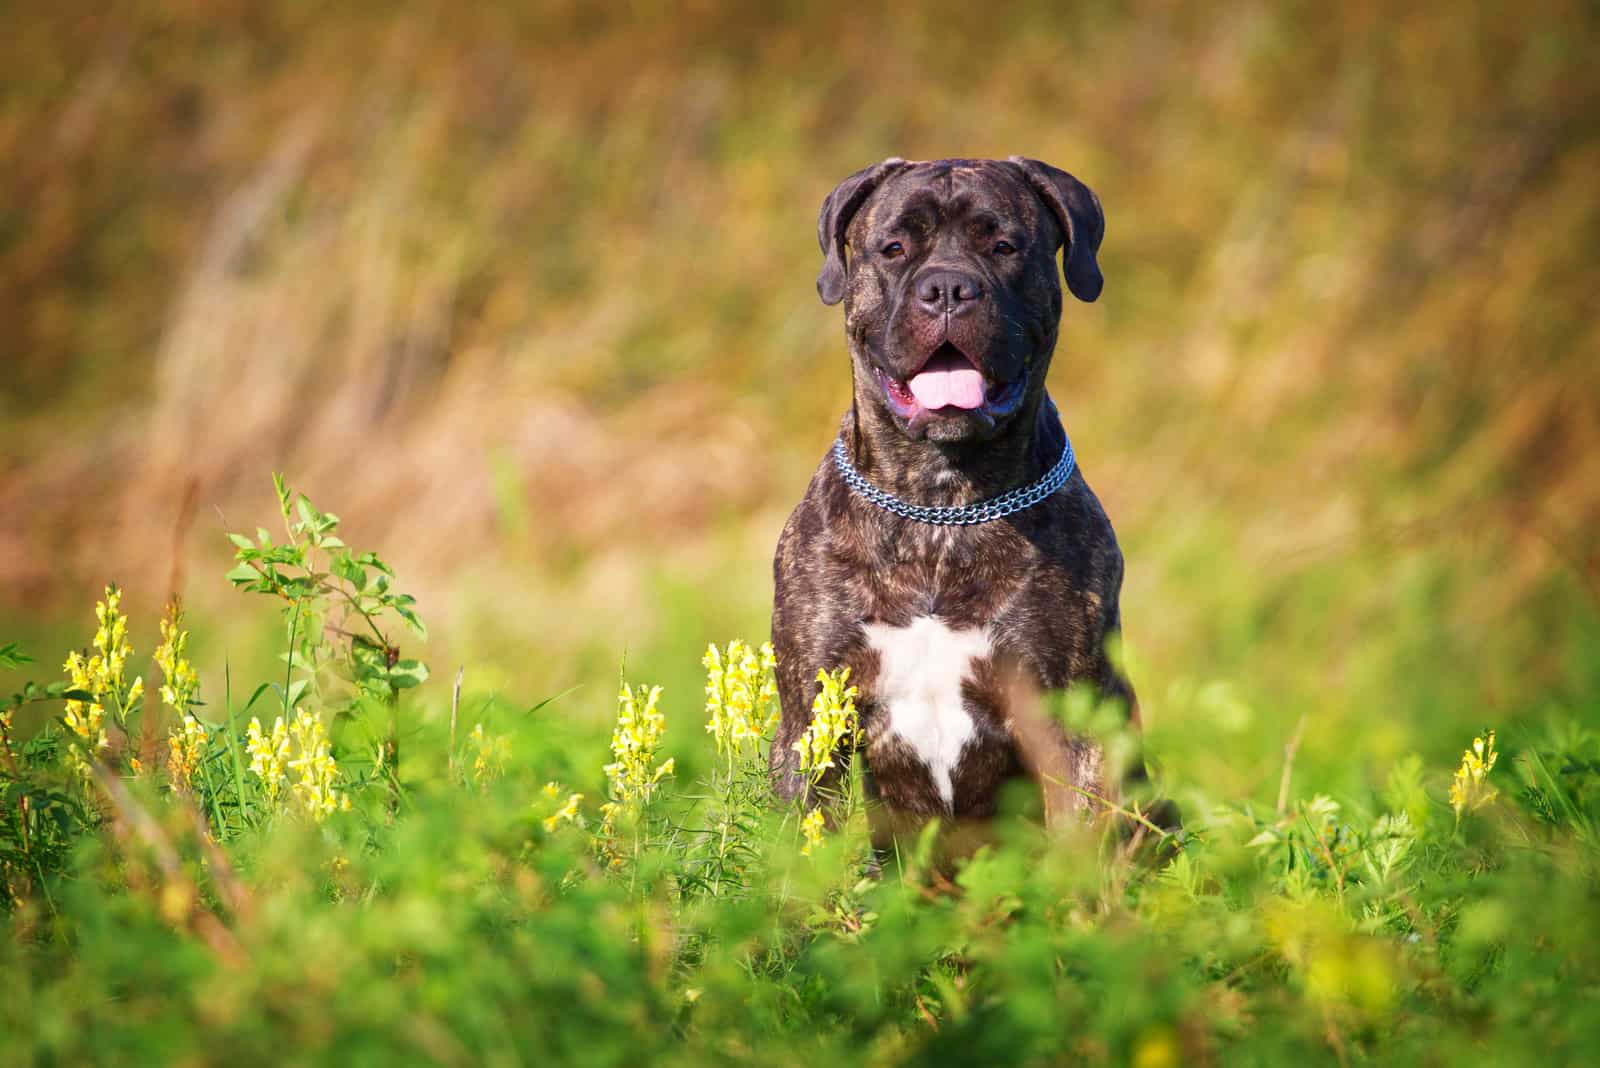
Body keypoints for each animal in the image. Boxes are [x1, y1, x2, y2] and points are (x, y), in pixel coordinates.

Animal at [764, 156, 1152, 844]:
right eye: (894, 248)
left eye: (1003, 247)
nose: (947, 288)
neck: (943, 505)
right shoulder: (811, 722)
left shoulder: (1071, 728)